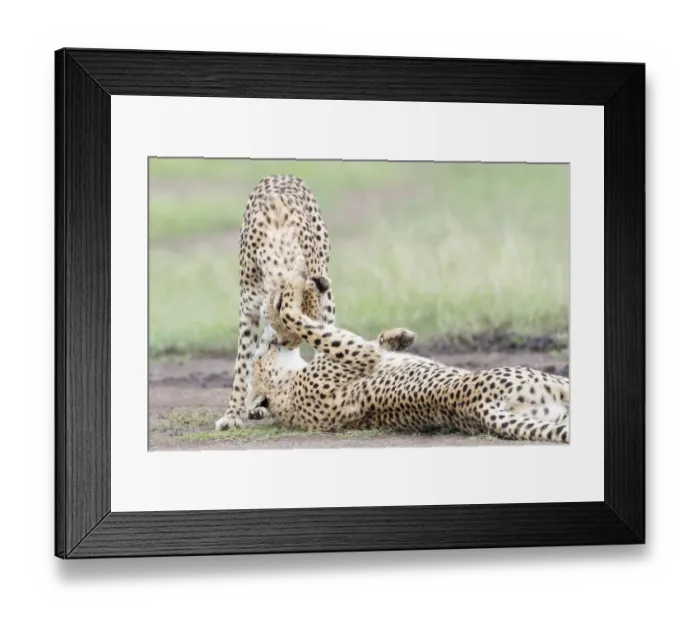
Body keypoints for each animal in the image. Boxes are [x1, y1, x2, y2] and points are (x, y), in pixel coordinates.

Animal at [215, 174, 337, 432]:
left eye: (301, 334)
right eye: (287, 329)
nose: (285, 344)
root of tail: (283, 175)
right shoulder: (248, 312)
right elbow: (243, 365)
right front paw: (232, 415)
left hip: (328, 295)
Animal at [246, 268, 571, 444]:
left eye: (261, 354)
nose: (271, 340)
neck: (284, 388)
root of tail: (478, 408)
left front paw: (396, 337)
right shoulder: (361, 356)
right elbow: (297, 319)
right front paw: (289, 289)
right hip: (553, 384)